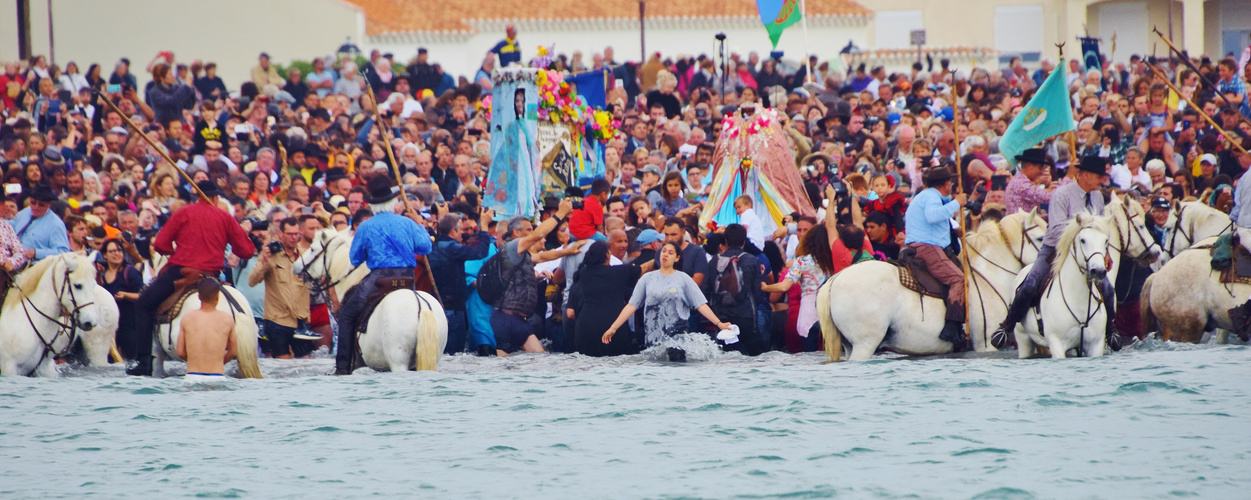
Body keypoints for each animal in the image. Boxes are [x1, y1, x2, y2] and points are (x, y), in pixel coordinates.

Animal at [815, 208, 1050, 362]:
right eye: (1040, 238)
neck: (988, 274)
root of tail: (835, 280)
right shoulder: (986, 344)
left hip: (849, 346)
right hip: (864, 344)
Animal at [1015, 212, 1115, 357]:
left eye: (1106, 241)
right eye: (1083, 240)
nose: (1098, 271)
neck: (1078, 300)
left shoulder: (1095, 345)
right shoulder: (1056, 343)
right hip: (1023, 339)